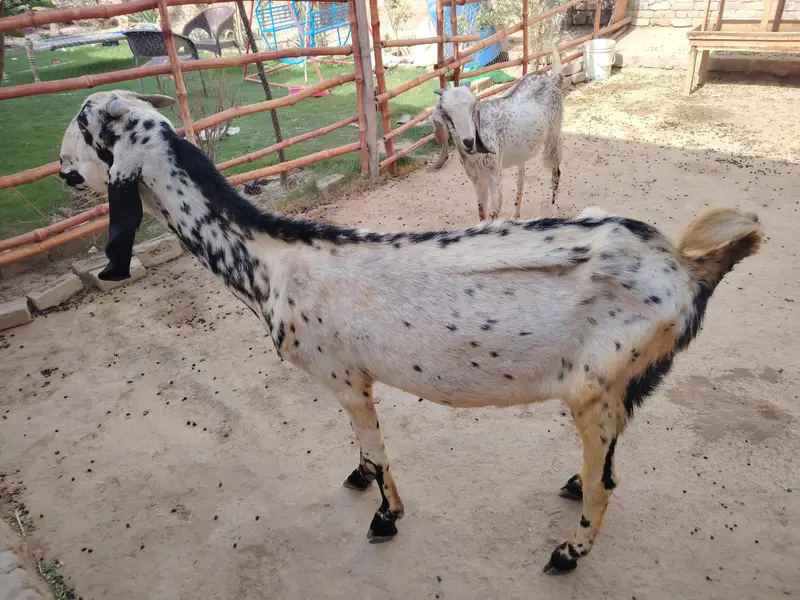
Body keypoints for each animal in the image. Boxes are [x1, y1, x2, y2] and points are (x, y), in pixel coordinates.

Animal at [60, 90, 763, 573]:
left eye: (88, 131)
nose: (63, 172)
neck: (270, 257)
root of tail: (689, 268)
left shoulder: (343, 375)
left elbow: (376, 452)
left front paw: (384, 517)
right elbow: (363, 451)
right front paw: (359, 482)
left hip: (596, 386)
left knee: (608, 482)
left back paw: (567, 551)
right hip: (623, 385)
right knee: (607, 459)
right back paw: (570, 487)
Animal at [431, 50, 565, 221]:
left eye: (473, 108)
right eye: (446, 115)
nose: (469, 141)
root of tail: (552, 80)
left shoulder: (495, 176)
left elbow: (494, 214)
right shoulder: (477, 179)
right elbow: (482, 213)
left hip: (553, 137)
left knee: (556, 173)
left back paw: (552, 211)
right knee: (521, 179)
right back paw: (516, 214)